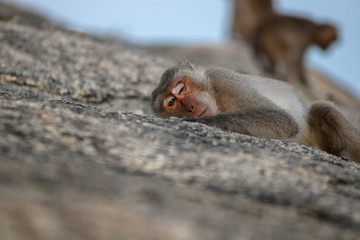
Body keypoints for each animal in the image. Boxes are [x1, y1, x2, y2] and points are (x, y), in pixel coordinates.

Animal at [152, 61, 360, 163]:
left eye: (180, 89)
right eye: (171, 102)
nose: (190, 108)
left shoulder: (223, 80)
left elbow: (283, 119)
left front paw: (204, 122)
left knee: (326, 110)